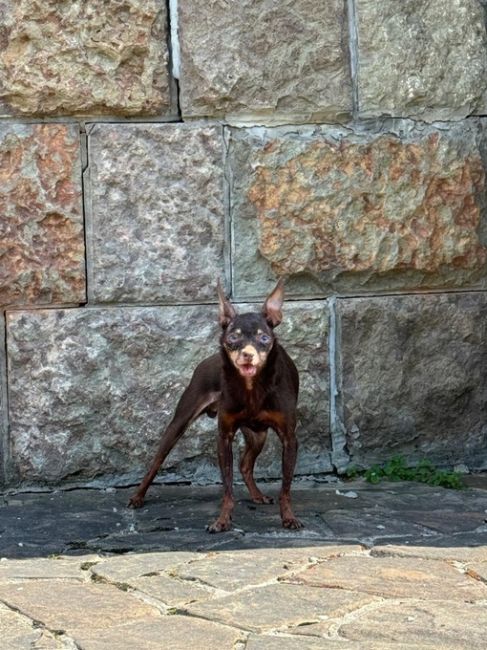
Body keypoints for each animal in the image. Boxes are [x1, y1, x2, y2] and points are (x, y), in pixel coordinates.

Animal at [130, 278, 304, 532]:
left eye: (264, 338)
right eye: (233, 338)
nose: (247, 354)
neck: (252, 388)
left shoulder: (289, 438)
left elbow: (286, 487)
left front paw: (289, 517)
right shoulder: (224, 436)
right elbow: (227, 488)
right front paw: (222, 520)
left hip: (258, 435)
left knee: (245, 464)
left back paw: (257, 495)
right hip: (180, 422)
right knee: (157, 461)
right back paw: (138, 496)